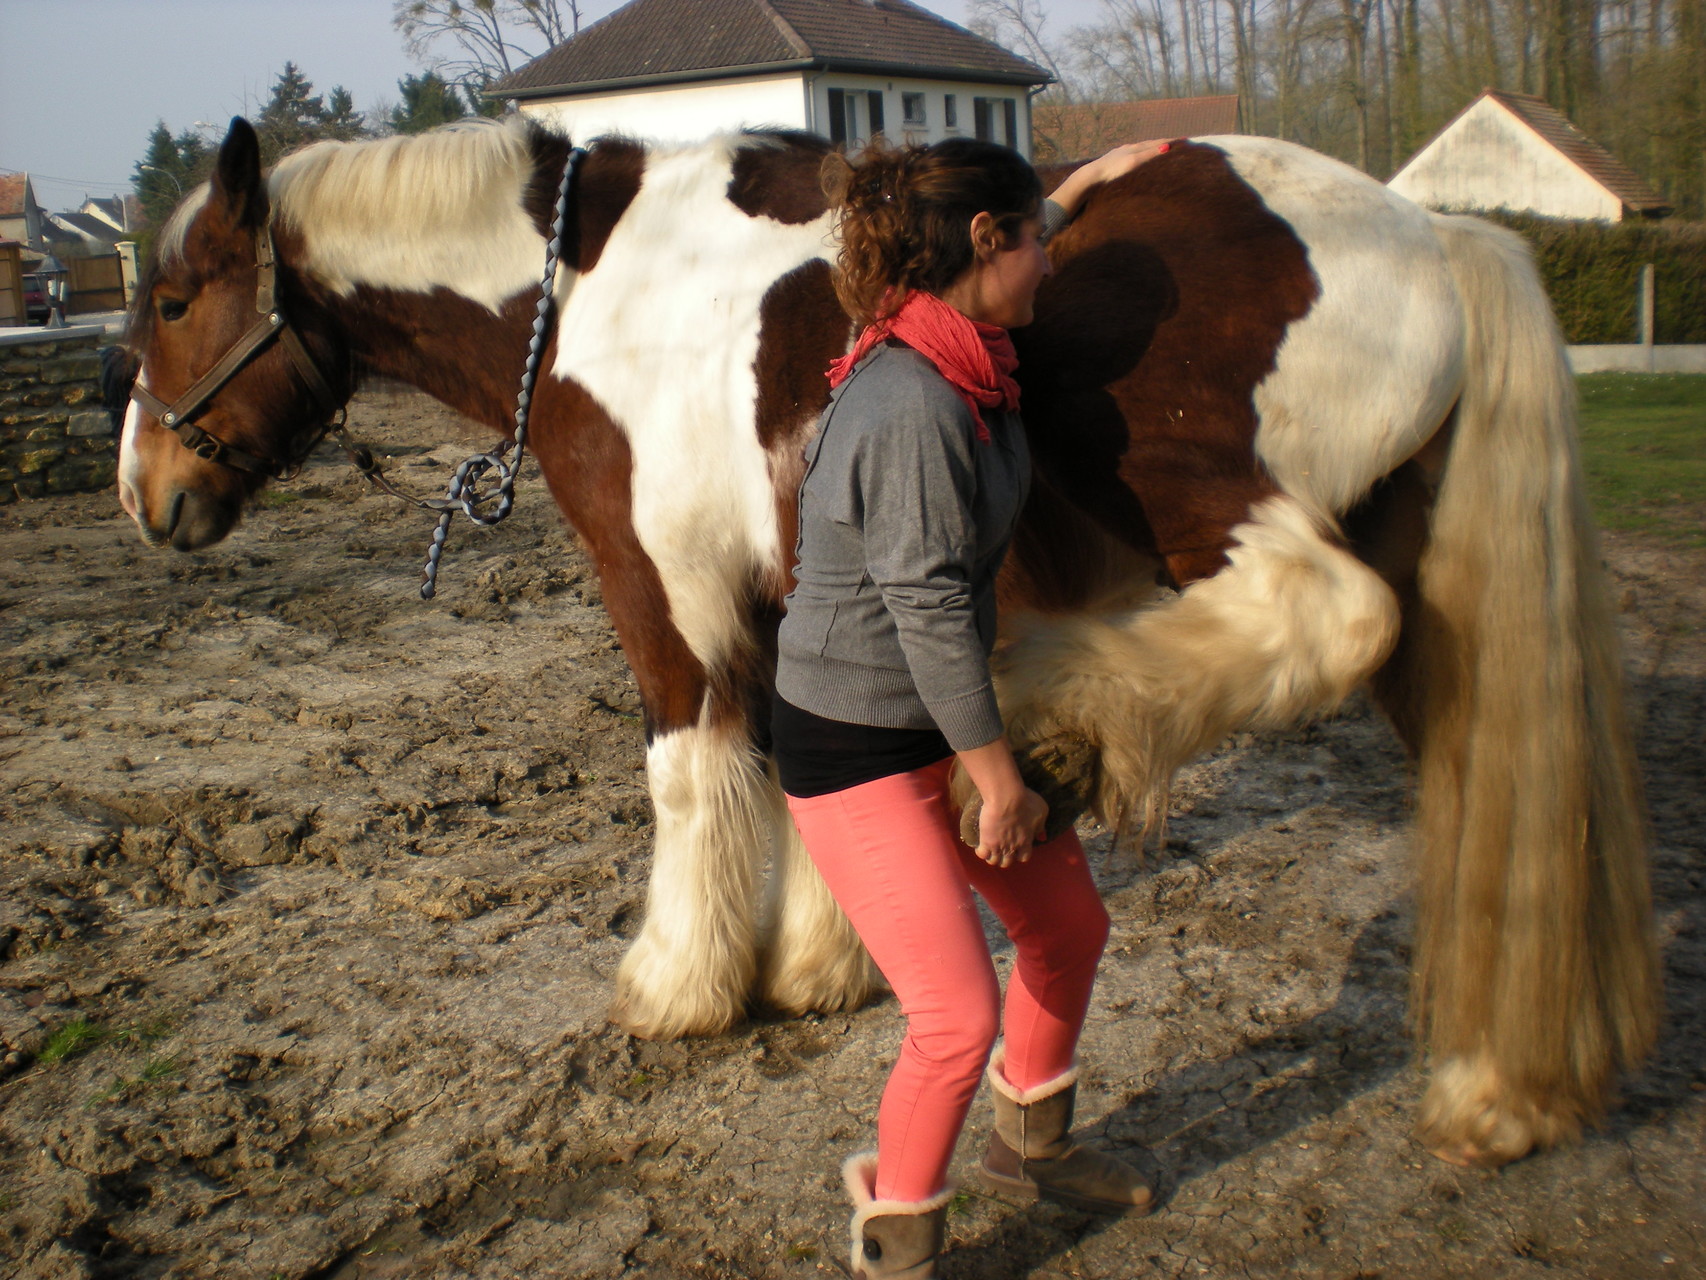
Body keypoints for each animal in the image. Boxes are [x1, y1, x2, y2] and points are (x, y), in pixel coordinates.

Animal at [116, 115, 1651, 1167]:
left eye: (176, 302)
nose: (146, 494)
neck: (593, 290)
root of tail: (1429, 233)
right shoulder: (800, 594)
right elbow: (820, 773)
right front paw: (819, 966)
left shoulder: (663, 595)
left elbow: (690, 775)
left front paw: (679, 985)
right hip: (1426, 587)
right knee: (1493, 779)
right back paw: (1496, 1093)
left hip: (1182, 492)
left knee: (1324, 616)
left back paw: (1060, 715)